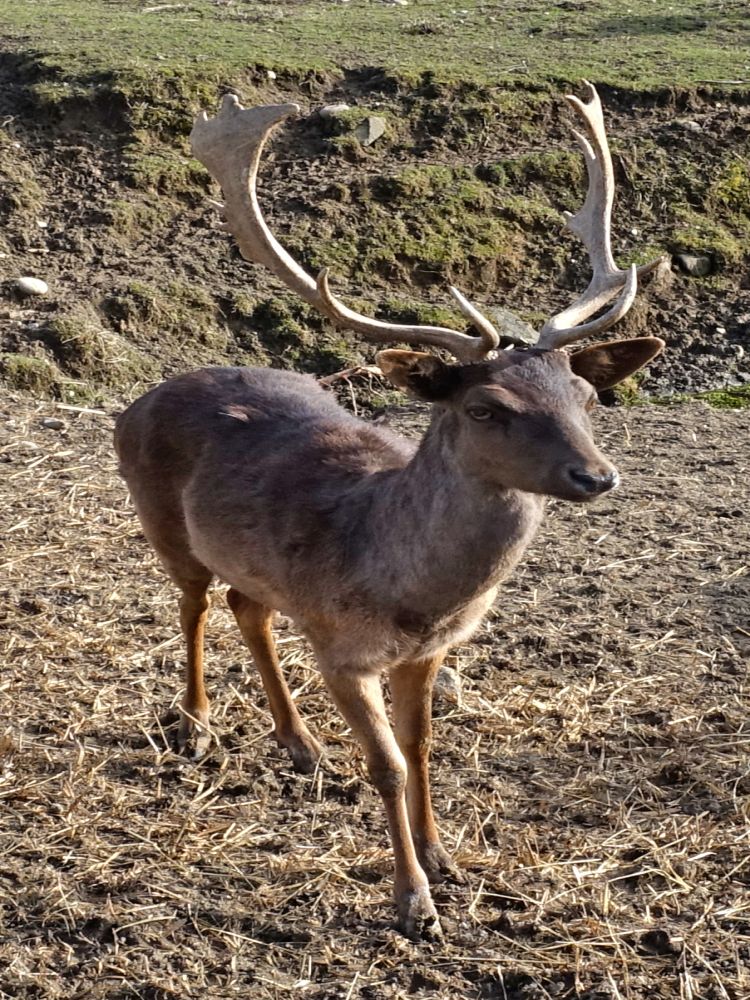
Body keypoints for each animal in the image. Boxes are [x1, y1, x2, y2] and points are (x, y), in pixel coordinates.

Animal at [114, 84, 668, 936]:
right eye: (485, 408)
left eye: (583, 392)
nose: (597, 475)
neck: (412, 595)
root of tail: (140, 397)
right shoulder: (342, 649)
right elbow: (387, 764)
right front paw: (413, 901)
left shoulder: (430, 651)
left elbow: (425, 745)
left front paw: (445, 856)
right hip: (161, 521)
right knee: (193, 605)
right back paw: (199, 722)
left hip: (259, 571)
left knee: (248, 604)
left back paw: (299, 742)